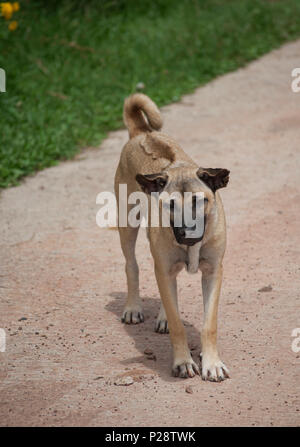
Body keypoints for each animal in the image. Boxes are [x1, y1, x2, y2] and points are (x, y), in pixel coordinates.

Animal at [114, 94, 230, 382]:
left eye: (200, 201)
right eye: (170, 205)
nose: (186, 232)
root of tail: (141, 133)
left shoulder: (213, 272)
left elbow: (209, 324)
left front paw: (211, 362)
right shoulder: (164, 266)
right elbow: (179, 325)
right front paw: (183, 362)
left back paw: (164, 314)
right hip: (127, 225)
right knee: (132, 266)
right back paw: (133, 307)